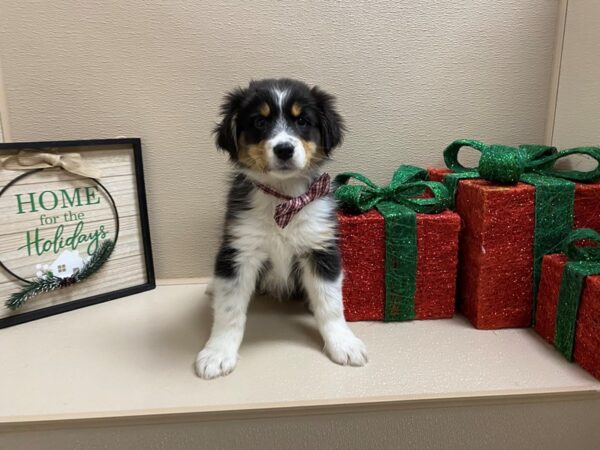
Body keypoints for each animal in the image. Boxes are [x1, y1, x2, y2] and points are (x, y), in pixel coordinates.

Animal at [196, 78, 366, 380]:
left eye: (303, 121)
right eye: (259, 122)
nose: (284, 149)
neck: (284, 198)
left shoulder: (320, 248)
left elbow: (331, 304)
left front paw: (343, 343)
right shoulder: (239, 249)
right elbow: (229, 310)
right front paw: (217, 353)